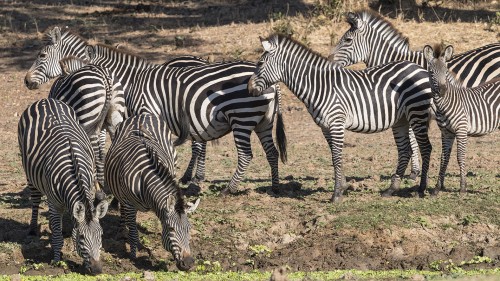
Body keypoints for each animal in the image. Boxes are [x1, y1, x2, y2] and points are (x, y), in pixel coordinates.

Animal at [17, 98, 108, 274]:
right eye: (81, 237)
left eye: (101, 235)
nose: (97, 270)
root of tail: (45, 100)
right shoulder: (53, 204)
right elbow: (58, 237)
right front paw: (57, 260)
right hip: (29, 172)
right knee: (35, 199)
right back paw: (33, 229)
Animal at [48, 57, 127, 190]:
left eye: (56, 86)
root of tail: (105, 77)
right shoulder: (102, 127)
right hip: (115, 114)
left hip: (87, 117)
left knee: (94, 152)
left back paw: (97, 186)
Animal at [104, 112, 198, 270]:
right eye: (171, 229)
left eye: (189, 228)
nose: (189, 263)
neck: (145, 180)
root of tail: (143, 115)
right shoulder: (130, 205)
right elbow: (134, 232)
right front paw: (133, 257)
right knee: (122, 211)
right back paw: (122, 231)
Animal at [248, 34, 432, 201]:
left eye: (260, 63)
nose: (249, 88)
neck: (319, 86)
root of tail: (419, 67)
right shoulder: (325, 126)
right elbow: (333, 155)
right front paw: (343, 186)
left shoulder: (336, 122)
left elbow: (337, 157)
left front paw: (336, 194)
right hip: (401, 119)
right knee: (405, 150)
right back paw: (391, 189)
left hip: (417, 113)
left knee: (426, 148)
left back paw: (421, 189)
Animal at [422, 45, 500, 195]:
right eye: (431, 72)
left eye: (445, 71)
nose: (442, 91)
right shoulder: (446, 132)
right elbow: (444, 158)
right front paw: (437, 188)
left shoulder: (461, 130)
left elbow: (460, 156)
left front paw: (463, 188)